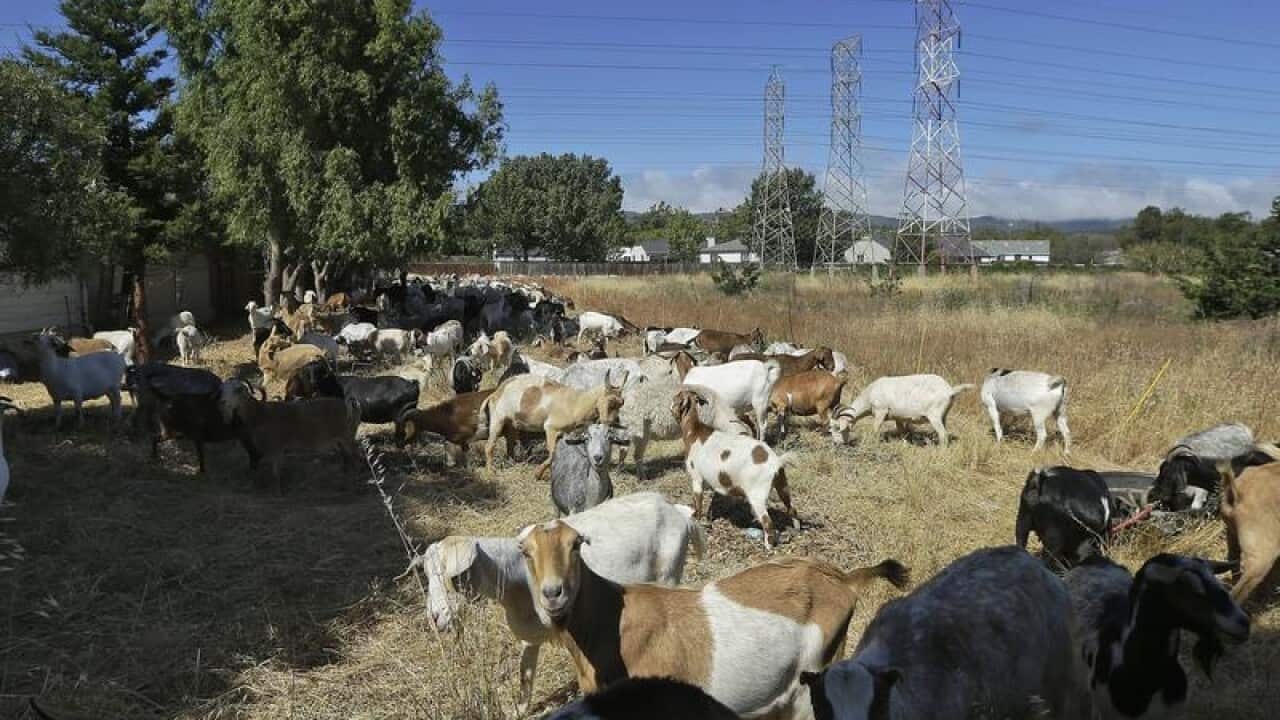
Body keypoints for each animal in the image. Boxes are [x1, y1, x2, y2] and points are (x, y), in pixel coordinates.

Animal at [217, 380, 361, 491]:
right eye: (223, 389)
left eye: (237, 390)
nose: (222, 401)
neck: (260, 414)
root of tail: (352, 406)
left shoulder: (276, 447)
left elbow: (276, 473)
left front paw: (278, 492)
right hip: (339, 440)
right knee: (347, 458)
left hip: (348, 437)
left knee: (357, 458)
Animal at [421, 492, 704, 713]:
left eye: (455, 576)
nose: (435, 617)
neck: (516, 577)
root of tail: (677, 511)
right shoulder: (531, 635)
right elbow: (525, 672)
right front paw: (520, 709)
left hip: (669, 572)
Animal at [482, 371, 627, 480]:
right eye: (610, 402)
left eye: (622, 402)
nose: (615, 422)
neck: (576, 403)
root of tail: (495, 393)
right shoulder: (551, 429)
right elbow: (552, 454)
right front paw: (538, 474)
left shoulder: (563, 433)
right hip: (498, 420)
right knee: (489, 446)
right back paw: (490, 471)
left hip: (512, 423)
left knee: (510, 442)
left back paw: (512, 463)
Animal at [672, 388, 797, 548]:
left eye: (676, 397)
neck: (694, 430)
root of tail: (776, 461)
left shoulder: (696, 479)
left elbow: (698, 503)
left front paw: (696, 519)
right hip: (783, 486)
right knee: (792, 508)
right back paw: (796, 529)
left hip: (757, 496)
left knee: (768, 522)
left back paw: (768, 546)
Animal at [831, 374, 975, 447]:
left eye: (838, 427)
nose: (837, 443)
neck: (869, 395)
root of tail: (950, 390)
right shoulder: (897, 417)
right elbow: (901, 431)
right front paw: (904, 443)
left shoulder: (880, 411)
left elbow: (875, 429)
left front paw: (871, 443)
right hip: (944, 415)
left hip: (934, 415)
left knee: (943, 435)